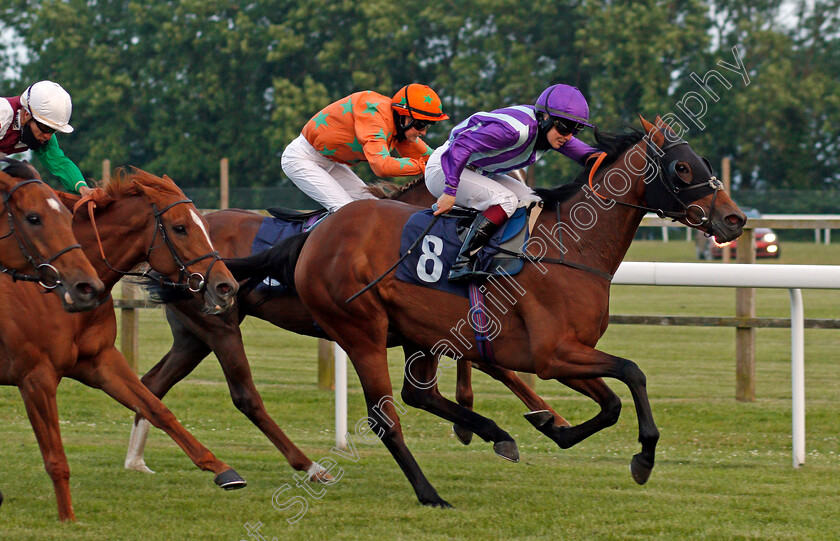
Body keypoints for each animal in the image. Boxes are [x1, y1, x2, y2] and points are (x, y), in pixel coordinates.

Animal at [231, 115, 748, 506]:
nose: (735, 219)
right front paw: (642, 459)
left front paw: (553, 427)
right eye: (682, 168)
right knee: (385, 417)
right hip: (361, 332)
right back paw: (429, 493)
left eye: (704, 162)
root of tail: (316, 234)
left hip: (417, 334)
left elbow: (612, 401)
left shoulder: (563, 354)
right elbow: (633, 372)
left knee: (418, 395)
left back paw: (493, 433)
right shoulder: (554, 354)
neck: (569, 247)